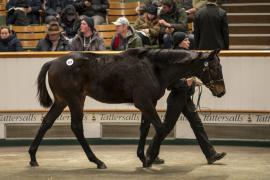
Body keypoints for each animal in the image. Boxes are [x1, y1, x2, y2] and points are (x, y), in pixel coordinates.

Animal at [29, 47, 226, 169]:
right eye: (215, 67)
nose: (221, 91)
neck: (153, 67)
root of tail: (53, 62)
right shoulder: (143, 102)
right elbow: (161, 128)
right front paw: (151, 157)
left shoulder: (150, 102)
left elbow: (145, 128)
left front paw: (143, 157)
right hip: (75, 100)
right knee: (76, 127)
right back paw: (98, 161)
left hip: (62, 100)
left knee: (46, 123)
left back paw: (33, 158)